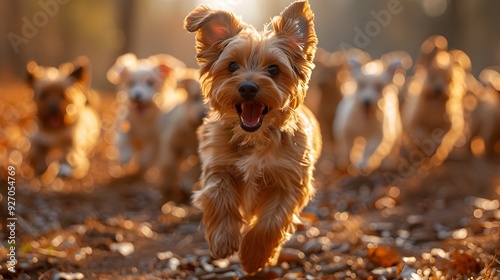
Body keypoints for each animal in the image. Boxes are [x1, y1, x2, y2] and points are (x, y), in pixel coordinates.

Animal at [184, 0, 320, 274]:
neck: (255, 139)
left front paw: (254, 256)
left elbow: (270, 221)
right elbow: (219, 195)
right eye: (232, 66)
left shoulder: (289, 181)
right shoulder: (219, 164)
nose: (247, 87)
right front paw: (224, 240)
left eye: (274, 69)